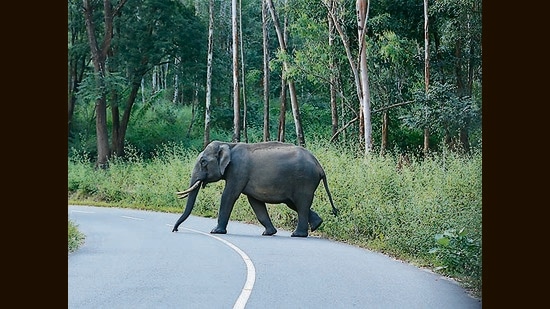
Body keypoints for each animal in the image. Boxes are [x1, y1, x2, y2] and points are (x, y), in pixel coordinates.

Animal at [172, 141, 338, 237]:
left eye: (203, 162)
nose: (175, 230)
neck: (229, 144)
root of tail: (319, 166)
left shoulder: (238, 171)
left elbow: (229, 195)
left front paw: (215, 231)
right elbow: (255, 202)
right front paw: (268, 233)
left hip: (304, 181)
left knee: (301, 203)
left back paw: (297, 234)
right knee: (294, 204)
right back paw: (317, 225)